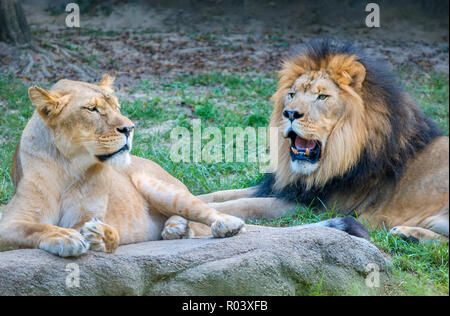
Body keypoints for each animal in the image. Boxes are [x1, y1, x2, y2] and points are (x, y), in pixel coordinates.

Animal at [0, 76, 246, 256]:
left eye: (117, 107)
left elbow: (111, 234)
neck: (69, 167)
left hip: (160, 188)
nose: (129, 128)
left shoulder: (88, 215)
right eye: (92, 109)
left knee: (204, 211)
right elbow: (33, 227)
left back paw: (225, 224)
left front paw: (99, 235)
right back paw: (176, 228)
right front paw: (64, 236)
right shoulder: (9, 222)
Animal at [199, 40, 448, 243]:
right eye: (292, 94)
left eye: (322, 97)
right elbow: (222, 194)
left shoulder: (316, 206)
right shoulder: (287, 189)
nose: (290, 113)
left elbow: (244, 204)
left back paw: (409, 234)